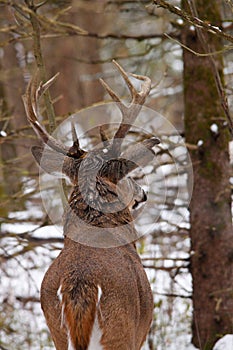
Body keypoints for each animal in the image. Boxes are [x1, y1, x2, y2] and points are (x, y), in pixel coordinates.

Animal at [22, 61, 159, 350]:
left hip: (57, 333)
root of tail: (79, 286)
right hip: (121, 330)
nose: (143, 194)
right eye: (128, 177)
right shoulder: (140, 332)